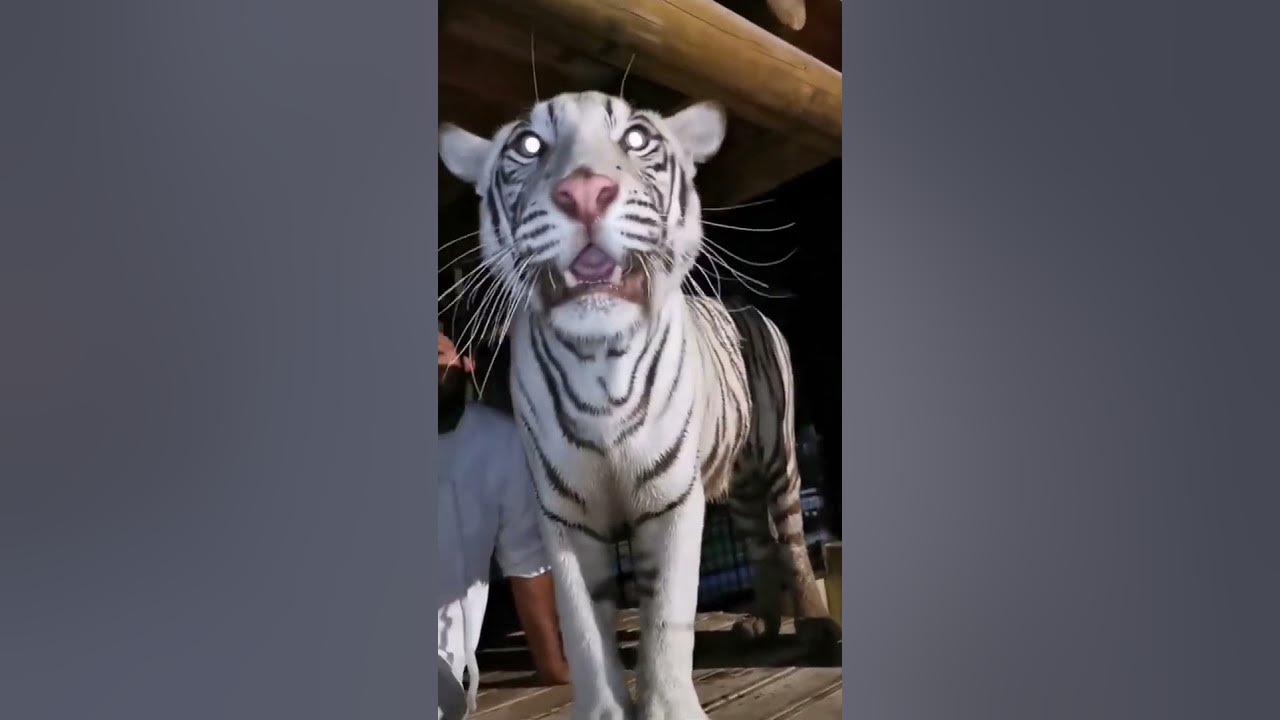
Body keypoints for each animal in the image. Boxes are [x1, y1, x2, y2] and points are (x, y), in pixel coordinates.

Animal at [439, 91, 835, 720]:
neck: (598, 364)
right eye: (529, 145)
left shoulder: (672, 497)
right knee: (757, 541)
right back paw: (762, 624)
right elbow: (583, 630)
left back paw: (815, 626)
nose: (585, 193)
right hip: (741, 477)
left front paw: (671, 707)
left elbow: (668, 619)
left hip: (778, 456)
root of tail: (745, 306)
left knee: (793, 539)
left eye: (638, 139)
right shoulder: (565, 513)